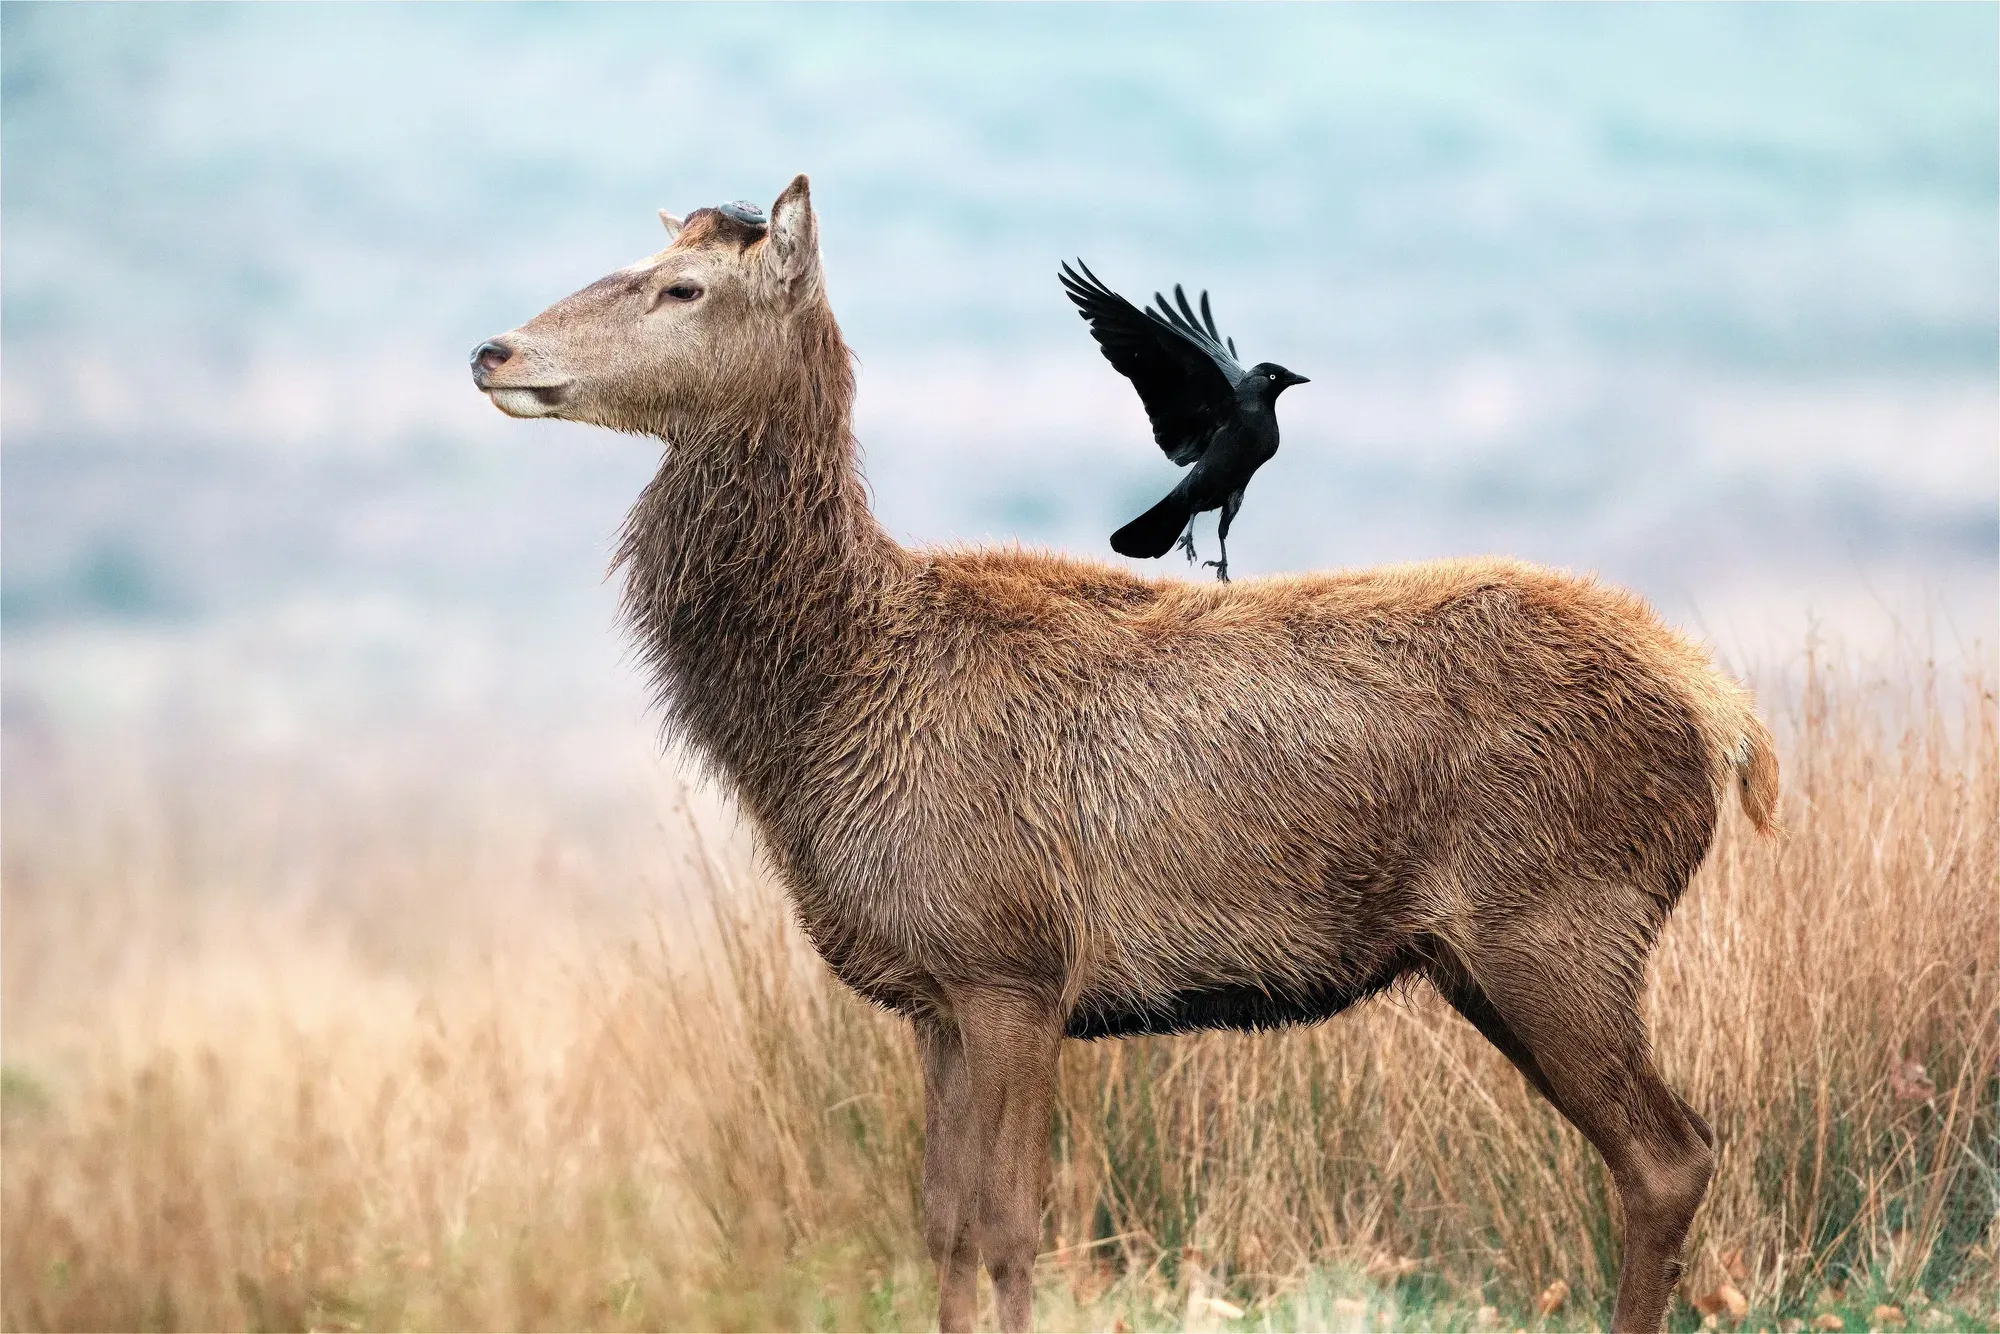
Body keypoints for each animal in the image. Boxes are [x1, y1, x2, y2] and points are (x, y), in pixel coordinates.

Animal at [471, 175, 1780, 1334]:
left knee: (1669, 1152)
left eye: (680, 286)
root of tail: (1721, 712)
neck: (823, 716)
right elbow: (941, 1223)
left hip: (1561, 921)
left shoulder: (1010, 961)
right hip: (1485, 956)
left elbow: (1010, 1226)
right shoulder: (932, 992)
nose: (492, 350)